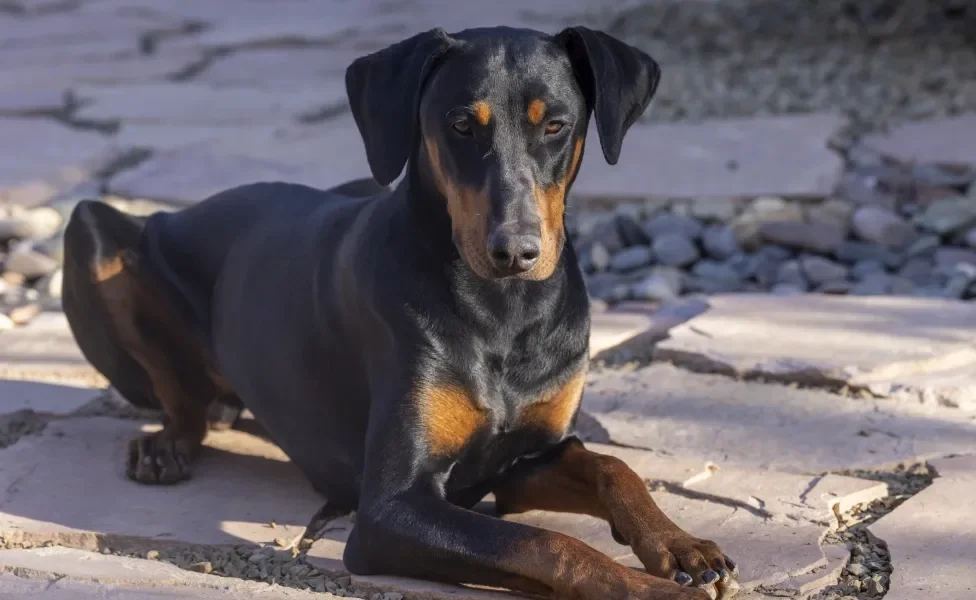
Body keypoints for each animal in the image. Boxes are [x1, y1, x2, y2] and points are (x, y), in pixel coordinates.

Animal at [63, 24, 740, 600]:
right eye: (461, 124)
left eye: (556, 126)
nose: (515, 251)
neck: (507, 313)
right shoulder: (391, 511)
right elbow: (543, 543)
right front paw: (651, 589)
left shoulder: (520, 462)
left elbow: (611, 466)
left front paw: (681, 545)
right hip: (93, 230)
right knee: (181, 393)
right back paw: (167, 444)